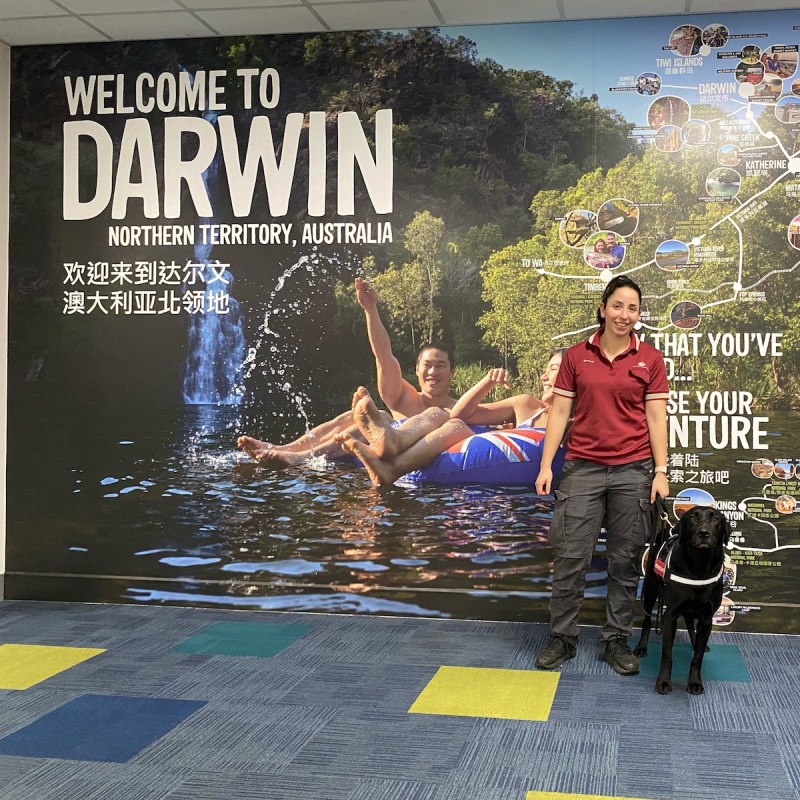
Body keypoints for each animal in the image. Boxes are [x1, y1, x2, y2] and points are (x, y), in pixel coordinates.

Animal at [636, 506, 732, 692]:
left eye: (716, 519)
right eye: (692, 518)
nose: (704, 533)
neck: (699, 565)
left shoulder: (707, 618)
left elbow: (697, 657)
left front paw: (695, 682)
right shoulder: (670, 616)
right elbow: (667, 655)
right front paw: (663, 681)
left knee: (690, 624)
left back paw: (696, 643)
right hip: (650, 589)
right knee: (647, 621)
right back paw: (641, 647)